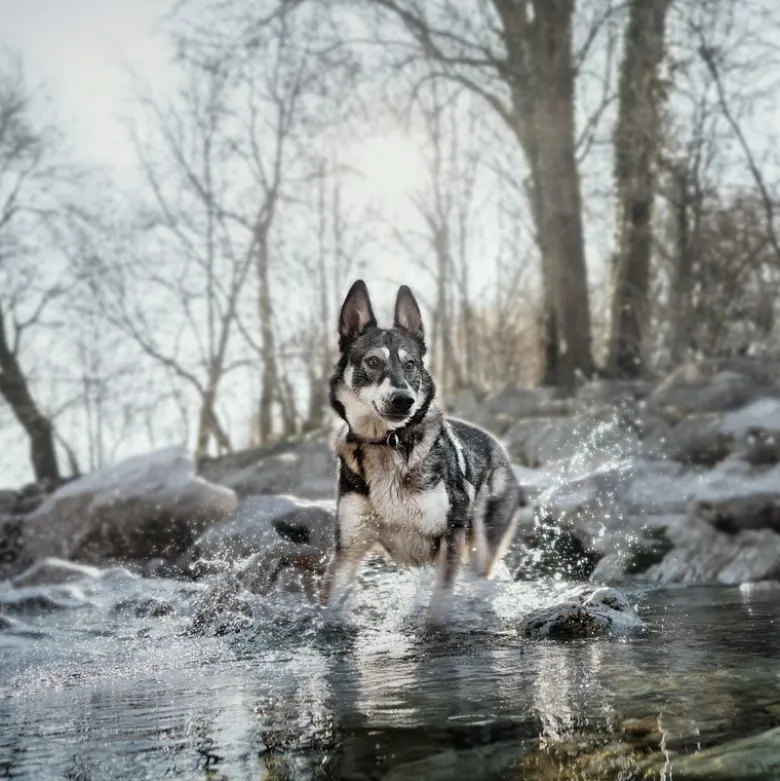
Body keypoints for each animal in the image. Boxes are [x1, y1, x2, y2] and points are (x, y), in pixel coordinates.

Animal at [321, 279, 525, 626]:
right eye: (373, 362)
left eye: (410, 364)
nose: (404, 400)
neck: (387, 443)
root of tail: (498, 446)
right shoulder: (348, 548)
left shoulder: (449, 540)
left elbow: (439, 607)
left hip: (482, 545)